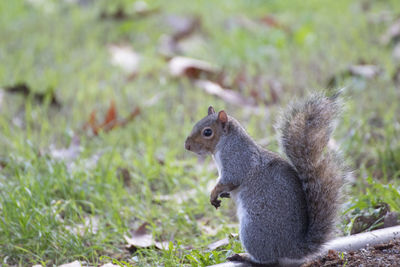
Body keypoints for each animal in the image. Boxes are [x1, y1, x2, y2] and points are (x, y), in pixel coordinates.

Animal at [184, 92, 346, 267]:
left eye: (207, 132)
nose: (187, 146)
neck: (225, 143)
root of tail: (291, 247)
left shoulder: (237, 161)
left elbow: (230, 180)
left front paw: (214, 193)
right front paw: (222, 195)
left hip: (252, 230)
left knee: (268, 260)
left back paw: (245, 257)